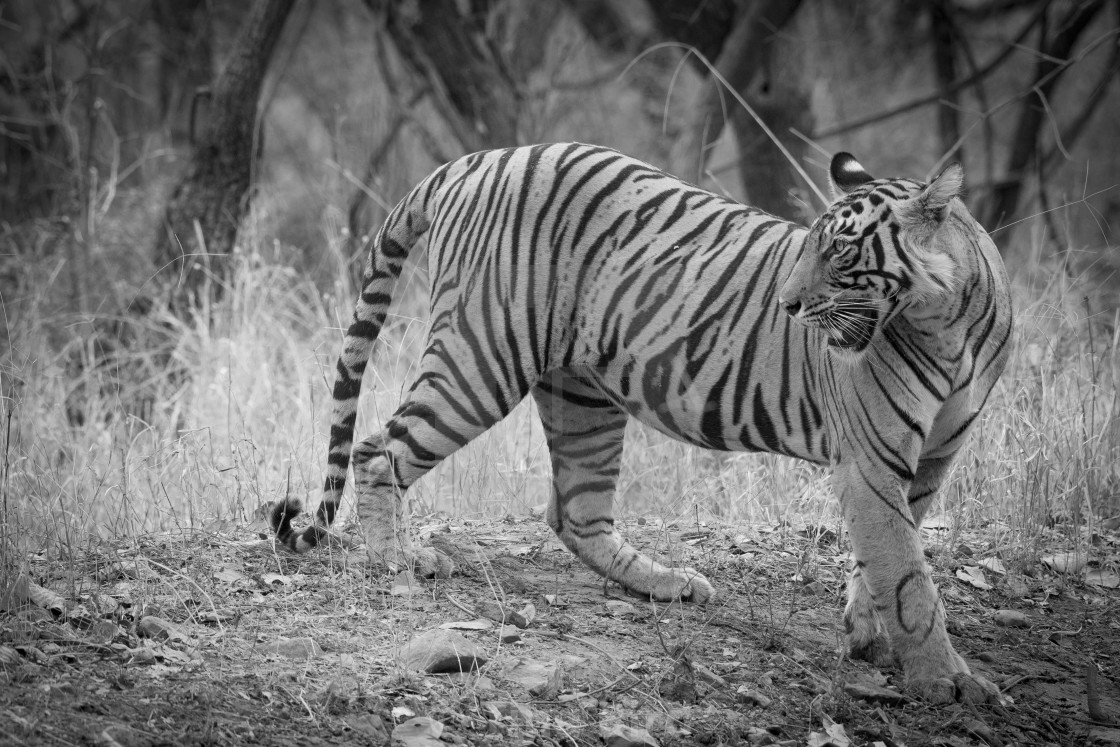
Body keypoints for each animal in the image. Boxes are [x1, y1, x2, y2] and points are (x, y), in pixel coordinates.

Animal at [273, 141, 1016, 707]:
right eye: (811, 246)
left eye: (839, 251)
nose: (787, 305)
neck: (950, 320)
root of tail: (477, 158)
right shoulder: (871, 461)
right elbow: (910, 577)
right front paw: (948, 680)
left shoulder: (931, 460)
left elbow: (887, 558)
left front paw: (866, 632)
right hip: (480, 357)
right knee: (379, 450)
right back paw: (396, 559)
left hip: (582, 394)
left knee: (576, 513)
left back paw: (668, 583)